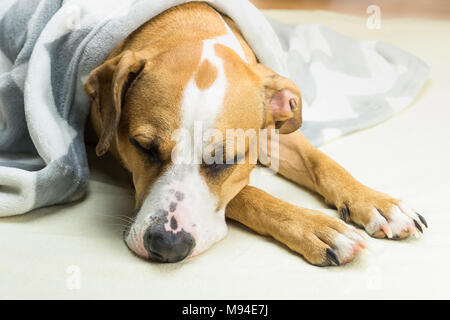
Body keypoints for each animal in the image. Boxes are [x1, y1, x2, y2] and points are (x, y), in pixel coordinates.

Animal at [83, 2, 426, 266]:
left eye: (227, 159)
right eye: (142, 147)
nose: (167, 246)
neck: (190, 25)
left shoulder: (272, 132)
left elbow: (320, 161)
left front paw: (377, 203)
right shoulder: (111, 153)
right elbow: (247, 193)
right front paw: (319, 227)